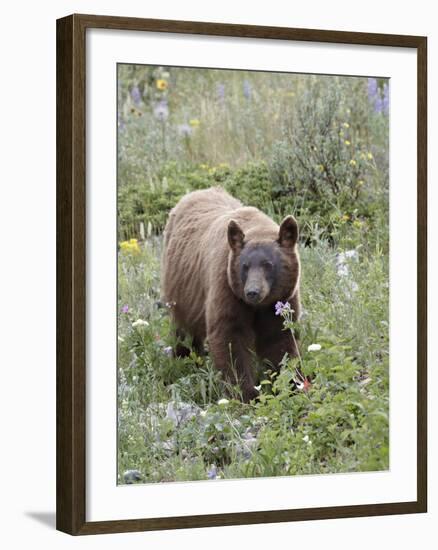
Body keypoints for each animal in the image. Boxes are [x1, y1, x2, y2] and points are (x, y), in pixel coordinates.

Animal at [161, 188, 302, 404]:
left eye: (268, 265)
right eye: (245, 266)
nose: (252, 292)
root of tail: (192, 194)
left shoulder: (281, 300)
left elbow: (279, 339)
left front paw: (290, 384)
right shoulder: (226, 287)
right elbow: (229, 338)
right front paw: (246, 394)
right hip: (181, 289)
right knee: (184, 330)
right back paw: (184, 360)